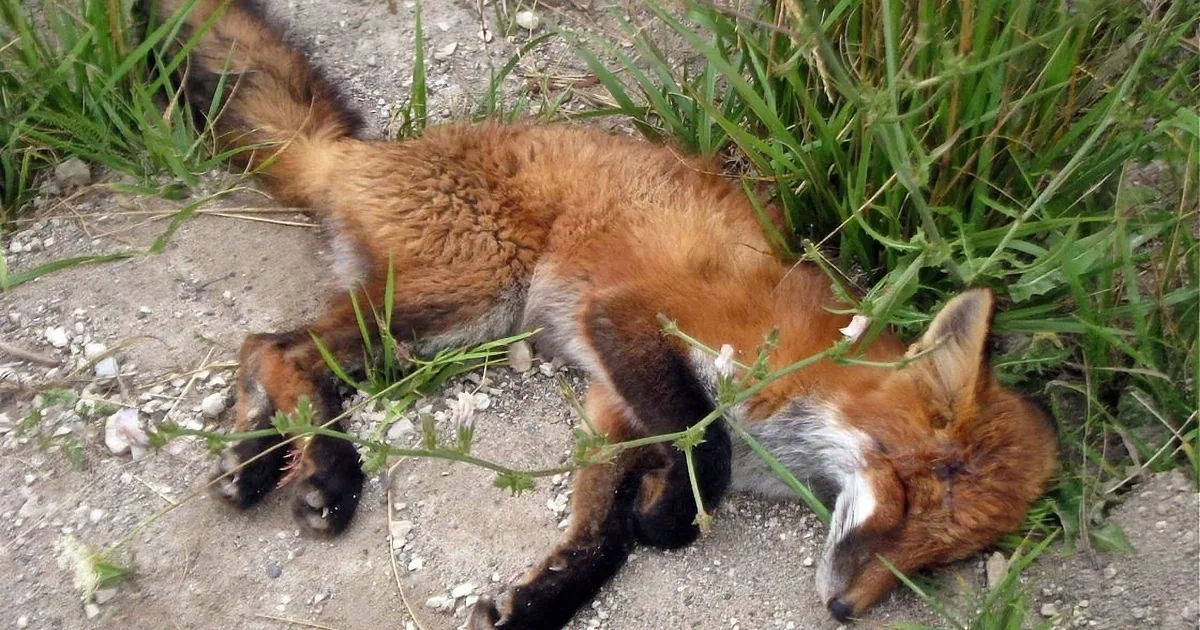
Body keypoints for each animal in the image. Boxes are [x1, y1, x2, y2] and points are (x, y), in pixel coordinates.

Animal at [144, 0, 1060, 627]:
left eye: (938, 559)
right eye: (904, 498)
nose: (844, 611)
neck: (798, 415)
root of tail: (362, 152)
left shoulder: (613, 407)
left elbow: (599, 537)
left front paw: (541, 600)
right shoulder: (632, 321)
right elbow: (703, 449)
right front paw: (670, 515)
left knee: (272, 354)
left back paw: (257, 463)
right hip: (466, 303)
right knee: (279, 348)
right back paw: (328, 477)